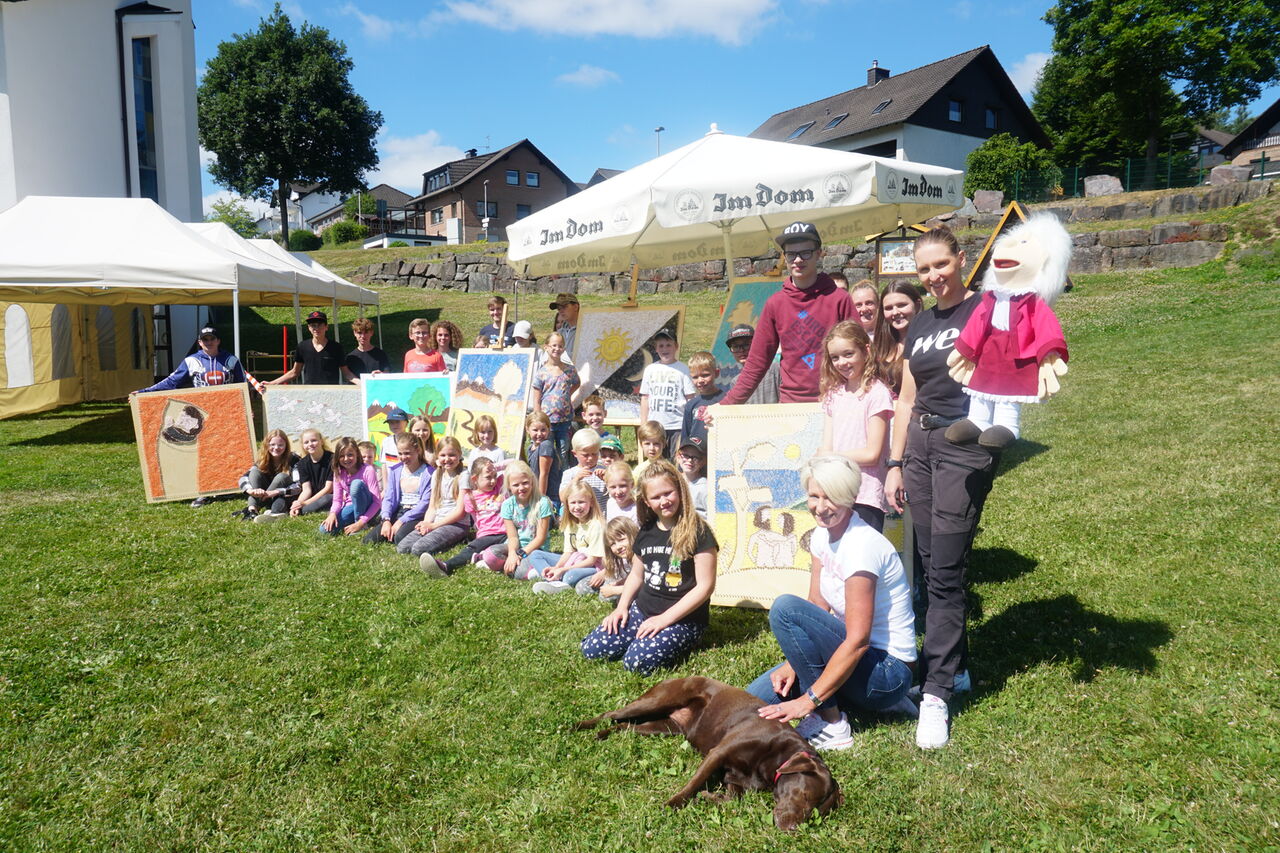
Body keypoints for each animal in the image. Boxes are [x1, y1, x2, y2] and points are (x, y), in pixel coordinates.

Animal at [578, 676, 839, 824]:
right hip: (655, 701)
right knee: (611, 714)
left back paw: (602, 734)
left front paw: (707, 797)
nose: (793, 829)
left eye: (815, 812)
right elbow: (692, 784)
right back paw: (579, 726)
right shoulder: (718, 753)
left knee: (624, 726)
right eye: (804, 795)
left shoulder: (735, 779)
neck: (777, 756)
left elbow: (732, 800)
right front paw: (672, 804)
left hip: (663, 728)